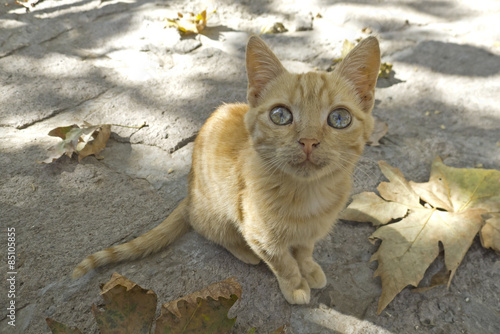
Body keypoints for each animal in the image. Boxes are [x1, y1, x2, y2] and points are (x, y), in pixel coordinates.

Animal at [73, 35, 378, 304]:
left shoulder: (310, 234)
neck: (308, 195)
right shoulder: (259, 234)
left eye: (339, 118)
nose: (308, 141)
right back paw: (243, 252)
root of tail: (189, 194)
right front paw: (296, 285)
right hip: (218, 215)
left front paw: (310, 268)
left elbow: (304, 251)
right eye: (280, 115)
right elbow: (283, 262)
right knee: (213, 232)